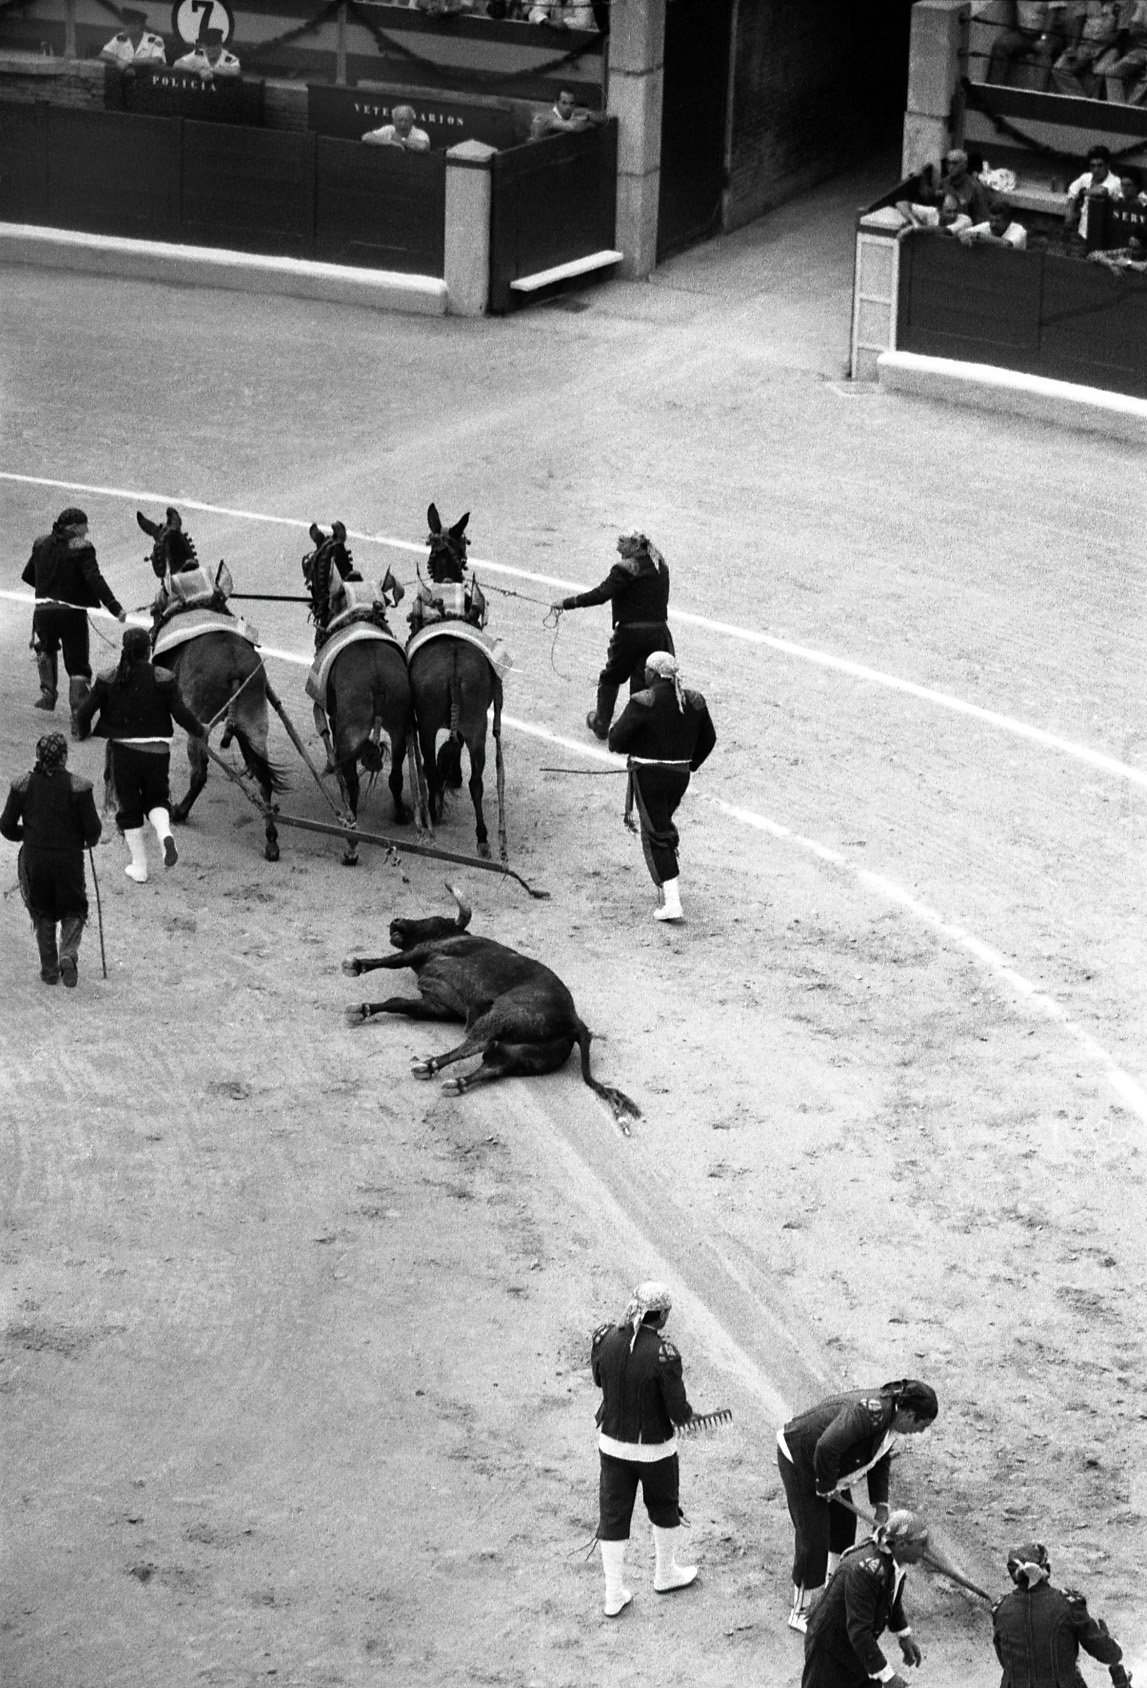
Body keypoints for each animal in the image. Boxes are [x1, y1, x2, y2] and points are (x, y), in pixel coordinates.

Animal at [345, 884, 640, 1134]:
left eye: (433, 919)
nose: (396, 921)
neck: (456, 937)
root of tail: (576, 1023)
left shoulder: (424, 952)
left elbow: (391, 960)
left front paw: (355, 965)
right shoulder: (437, 1005)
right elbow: (398, 1002)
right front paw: (361, 1009)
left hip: (497, 1018)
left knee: (472, 1046)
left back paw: (429, 1065)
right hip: (522, 1055)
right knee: (493, 1064)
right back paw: (456, 1082)